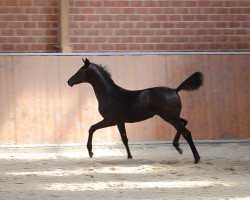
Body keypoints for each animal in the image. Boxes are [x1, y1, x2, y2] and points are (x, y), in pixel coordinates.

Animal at [68, 57, 203, 164]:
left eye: (80, 71)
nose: (69, 81)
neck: (110, 95)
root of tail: (175, 90)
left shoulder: (110, 120)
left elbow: (92, 128)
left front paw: (90, 152)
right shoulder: (120, 122)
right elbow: (124, 139)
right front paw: (129, 156)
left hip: (170, 117)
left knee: (187, 133)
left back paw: (196, 158)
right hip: (172, 117)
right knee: (184, 123)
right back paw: (178, 147)